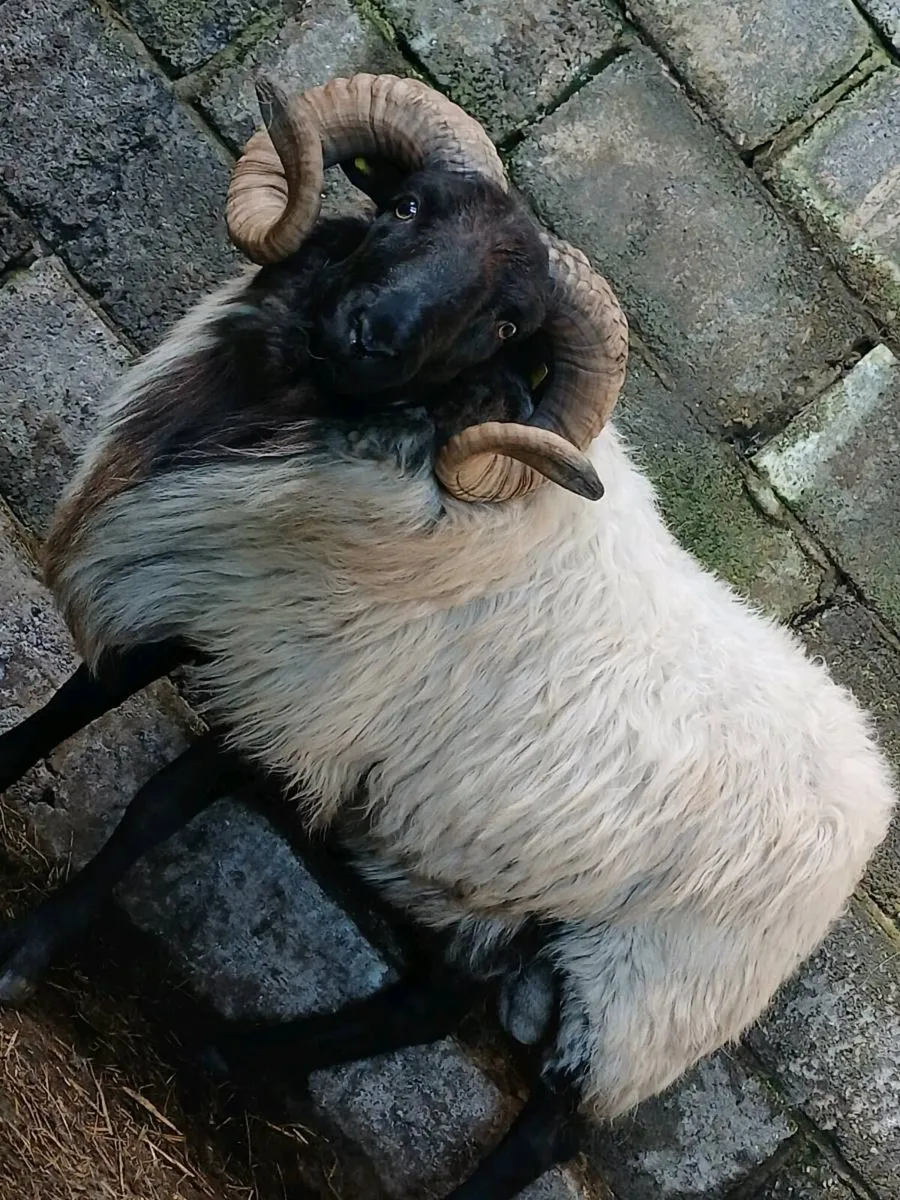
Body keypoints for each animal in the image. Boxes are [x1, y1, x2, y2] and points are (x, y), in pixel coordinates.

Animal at [0, 71, 895, 1200]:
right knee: (432, 1003)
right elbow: (67, 705)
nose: (371, 331)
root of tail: (872, 787)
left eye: (507, 326)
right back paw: (231, 1056)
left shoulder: (299, 721)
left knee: (549, 1127)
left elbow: (153, 810)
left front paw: (25, 955)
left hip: (647, 998)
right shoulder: (201, 604)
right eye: (406, 206)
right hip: (502, 900)